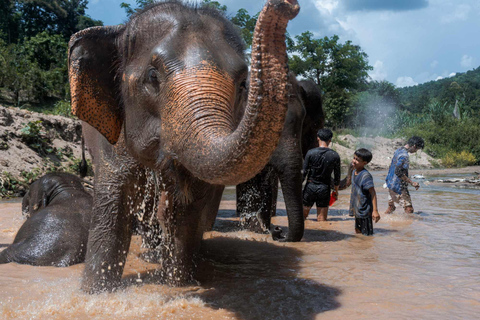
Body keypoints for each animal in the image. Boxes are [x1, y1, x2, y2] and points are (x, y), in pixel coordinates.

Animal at [68, 0, 300, 292]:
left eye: (243, 84)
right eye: (152, 76)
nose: (287, 6)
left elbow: (186, 210)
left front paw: (178, 284)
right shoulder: (113, 135)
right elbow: (113, 204)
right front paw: (95, 292)